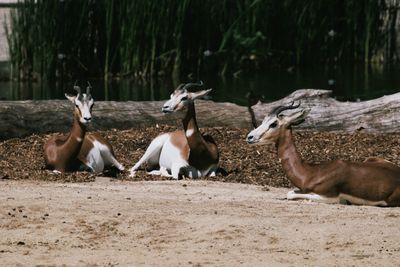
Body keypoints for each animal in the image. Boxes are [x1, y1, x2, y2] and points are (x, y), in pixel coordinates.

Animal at [245, 102, 400, 207]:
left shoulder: (330, 197)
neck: (310, 173)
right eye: (263, 121)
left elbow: (290, 194)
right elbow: (291, 192)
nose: (250, 137)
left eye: (273, 123)